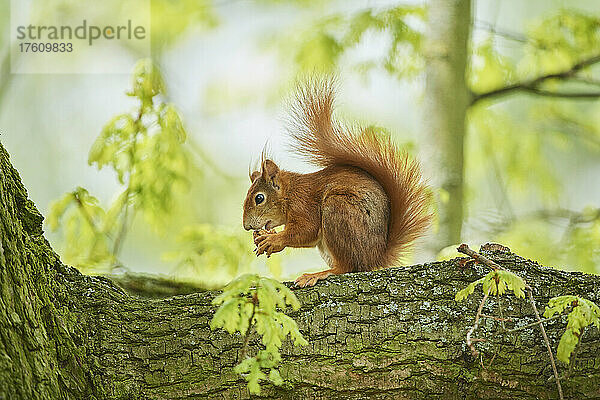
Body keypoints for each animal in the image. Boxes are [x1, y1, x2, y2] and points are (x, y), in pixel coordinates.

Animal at [241, 79, 434, 288]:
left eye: (259, 198)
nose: (246, 226)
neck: (289, 193)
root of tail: (375, 257)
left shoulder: (304, 204)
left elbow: (306, 230)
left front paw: (273, 239)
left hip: (336, 210)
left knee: (347, 267)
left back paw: (318, 274)